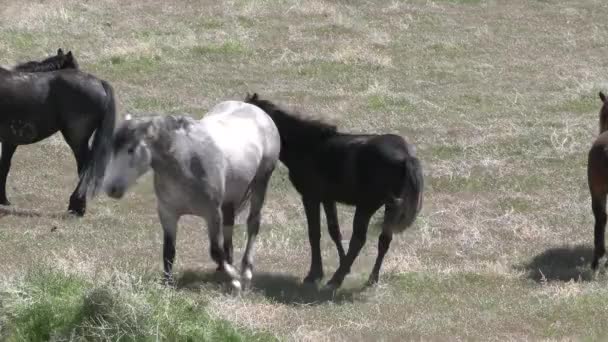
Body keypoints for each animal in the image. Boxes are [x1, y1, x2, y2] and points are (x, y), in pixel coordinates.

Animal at [0, 50, 116, 216]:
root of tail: (99, 83)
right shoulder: (9, 141)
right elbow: (4, 165)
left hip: (76, 139)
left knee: (85, 167)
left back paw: (77, 207)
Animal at [102, 101, 280, 292]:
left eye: (130, 150)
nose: (111, 188)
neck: (185, 161)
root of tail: (257, 110)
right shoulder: (168, 214)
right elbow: (169, 251)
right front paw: (167, 284)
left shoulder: (212, 214)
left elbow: (215, 251)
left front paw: (235, 279)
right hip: (229, 200)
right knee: (229, 227)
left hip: (261, 183)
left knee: (253, 224)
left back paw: (246, 271)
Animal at [245, 93, 426, 288]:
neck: (306, 146)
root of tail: (406, 156)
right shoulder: (328, 198)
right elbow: (334, 231)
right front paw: (342, 265)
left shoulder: (310, 197)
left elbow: (314, 233)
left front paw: (314, 274)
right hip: (389, 207)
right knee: (384, 240)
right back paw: (370, 279)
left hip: (366, 206)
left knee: (359, 240)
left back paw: (336, 280)